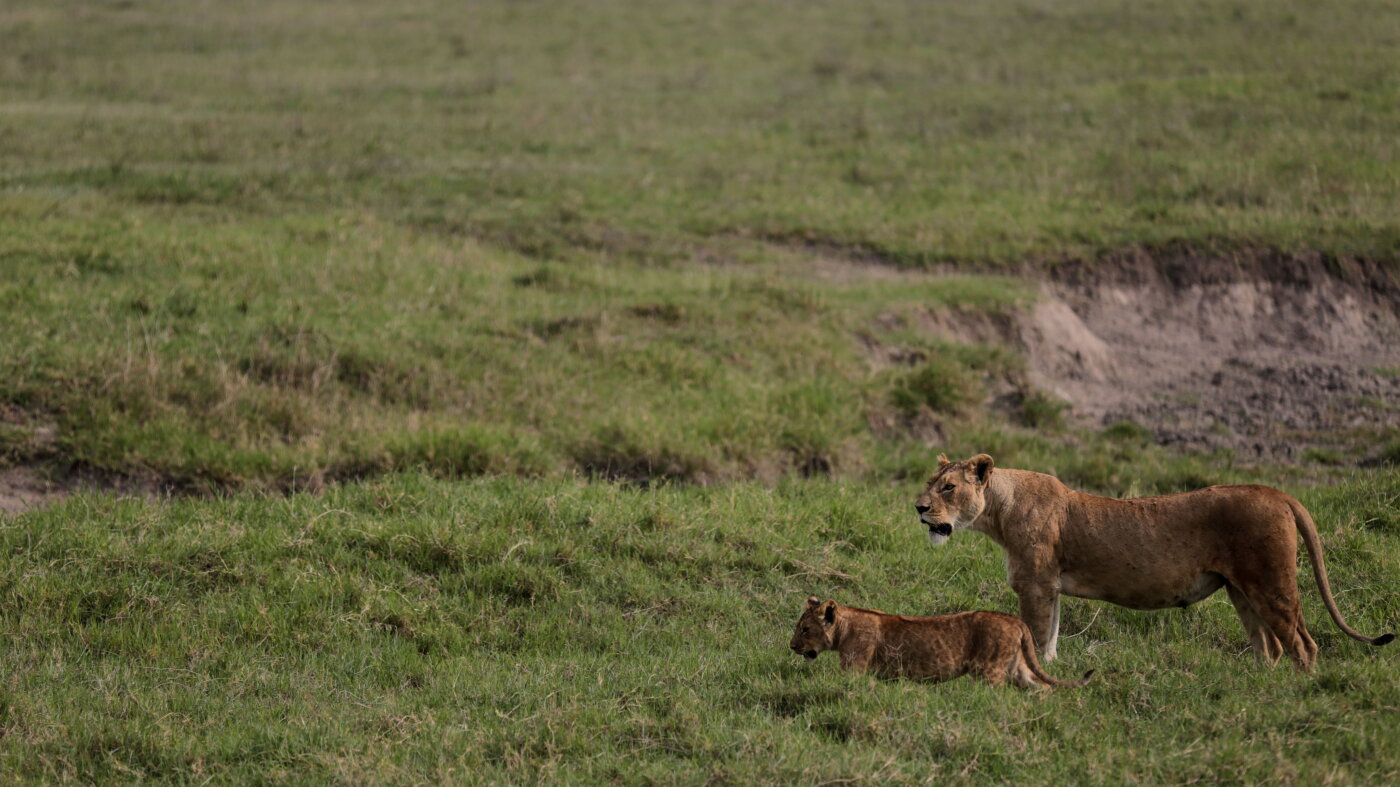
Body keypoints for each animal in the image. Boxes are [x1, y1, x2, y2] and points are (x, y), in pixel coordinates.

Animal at [788, 597, 1093, 689]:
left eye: (805, 629)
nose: (791, 646)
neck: (846, 626)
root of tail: (1015, 620)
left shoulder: (854, 668)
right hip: (1018, 666)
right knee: (1042, 686)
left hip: (989, 670)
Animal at [914, 453, 1394, 671]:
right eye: (930, 482)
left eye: (948, 487)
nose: (918, 507)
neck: (999, 510)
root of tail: (1276, 492)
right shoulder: (1049, 587)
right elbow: (1049, 635)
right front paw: (1050, 671)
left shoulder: (1034, 584)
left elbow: (1033, 633)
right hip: (1242, 590)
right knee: (1269, 646)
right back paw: (1260, 686)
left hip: (1271, 582)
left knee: (1302, 644)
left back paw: (1296, 690)